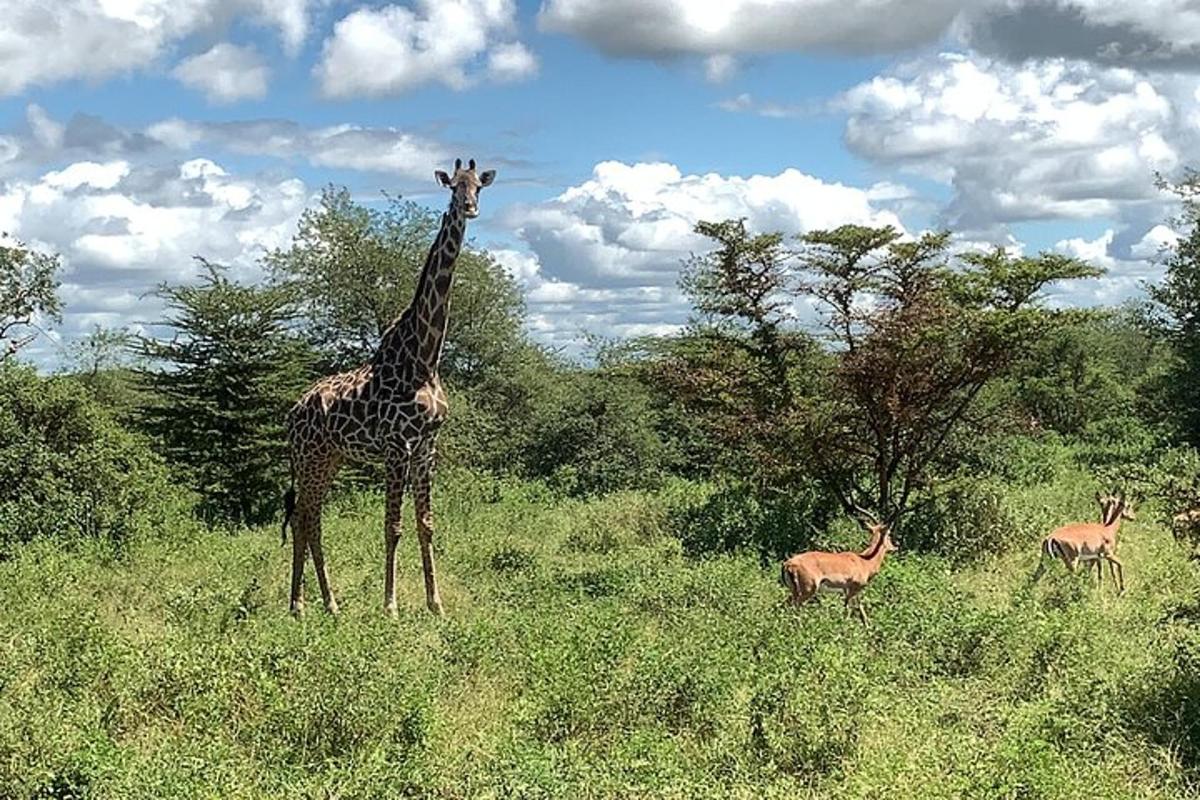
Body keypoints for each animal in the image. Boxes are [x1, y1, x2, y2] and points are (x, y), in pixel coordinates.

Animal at [283, 158, 494, 618]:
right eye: (453, 187)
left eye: (479, 187)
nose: (469, 208)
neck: (425, 357)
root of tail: (292, 412)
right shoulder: (398, 446)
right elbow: (392, 526)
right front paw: (391, 606)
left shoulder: (427, 445)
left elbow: (426, 524)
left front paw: (436, 605)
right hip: (309, 458)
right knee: (305, 518)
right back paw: (299, 606)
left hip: (331, 458)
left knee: (311, 519)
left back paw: (329, 604)